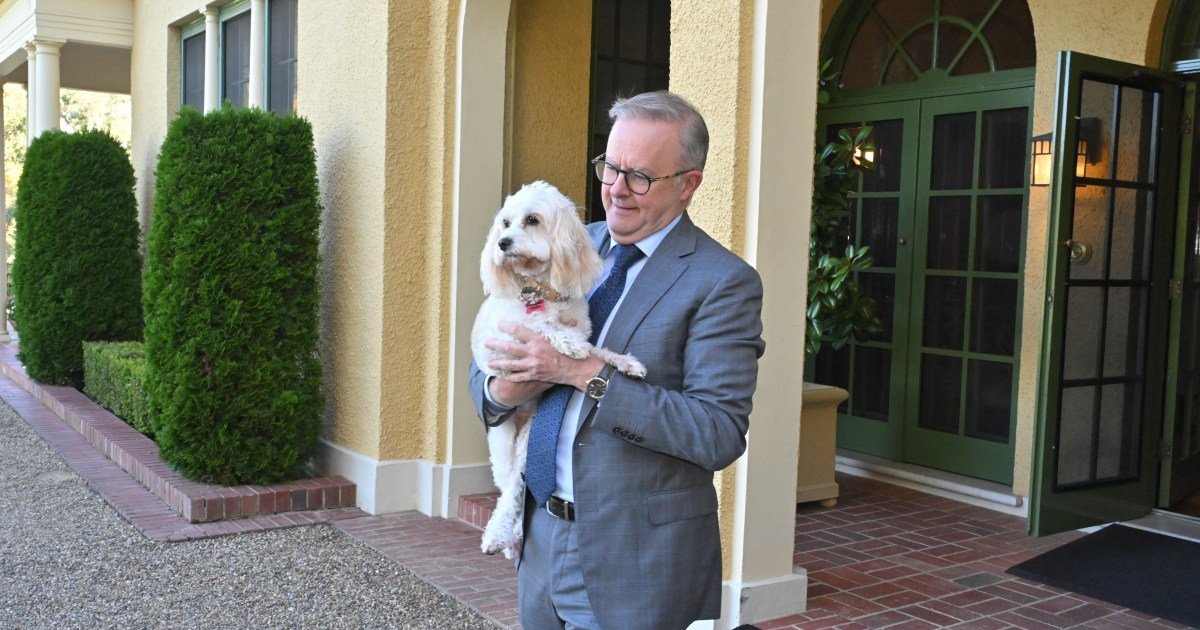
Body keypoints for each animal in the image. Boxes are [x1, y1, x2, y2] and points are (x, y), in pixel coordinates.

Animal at [471, 180, 646, 559]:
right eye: (505, 223)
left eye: (532, 220)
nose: (502, 243)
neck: (541, 291)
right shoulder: (505, 340)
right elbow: (544, 328)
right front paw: (567, 342)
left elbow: (598, 349)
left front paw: (625, 362)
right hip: (502, 442)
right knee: (509, 488)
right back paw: (497, 534)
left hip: (527, 440)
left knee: (518, 485)